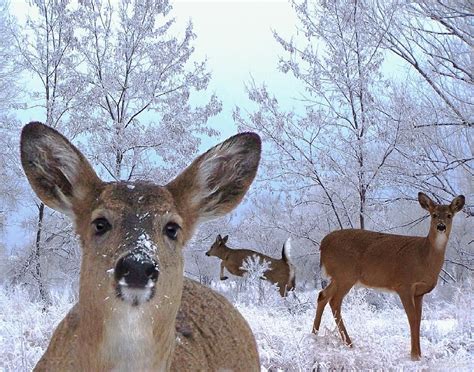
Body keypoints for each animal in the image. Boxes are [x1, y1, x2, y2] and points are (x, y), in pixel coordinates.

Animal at [312, 192, 464, 360]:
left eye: (449, 215)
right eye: (434, 214)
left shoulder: (419, 292)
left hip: (338, 277)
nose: (441, 226)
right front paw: (414, 355)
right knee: (334, 301)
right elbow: (412, 318)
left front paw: (419, 354)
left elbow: (419, 319)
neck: (424, 257)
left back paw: (314, 335)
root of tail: (323, 244)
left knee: (322, 295)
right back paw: (349, 343)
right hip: (345, 275)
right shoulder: (404, 285)